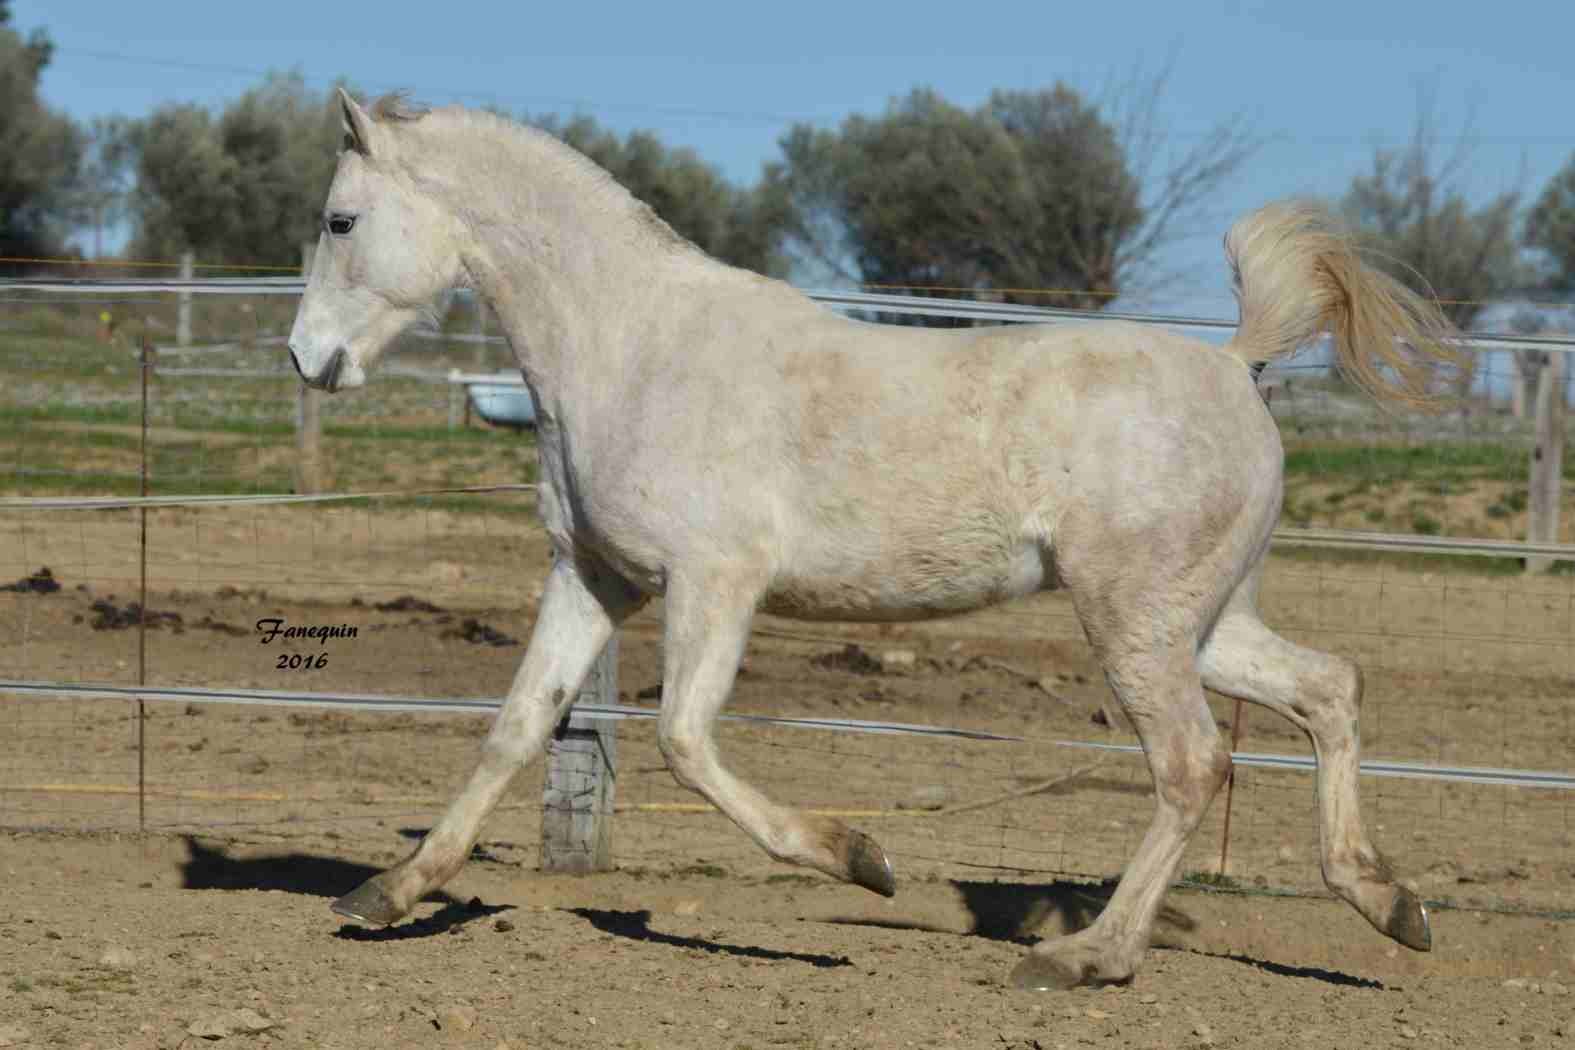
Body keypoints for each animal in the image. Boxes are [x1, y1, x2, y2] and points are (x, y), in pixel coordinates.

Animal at [292, 92, 1449, 994]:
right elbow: (516, 727)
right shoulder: (594, 577)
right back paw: (1387, 903)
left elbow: (684, 742)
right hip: (1201, 623)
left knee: (1192, 765)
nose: (308, 359)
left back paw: (1083, 958)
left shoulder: (714, 583)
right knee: (1328, 691)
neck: (631, 347)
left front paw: (862, 860)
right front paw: (385, 895)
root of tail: (1234, 366)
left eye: (341, 219)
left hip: (1136, 623)